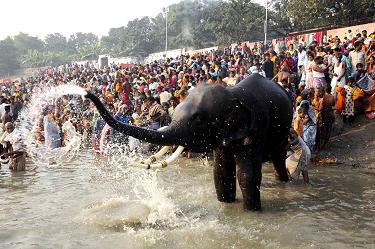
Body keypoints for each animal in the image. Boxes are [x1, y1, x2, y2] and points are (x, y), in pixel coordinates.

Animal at [86, 74, 296, 210]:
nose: (86, 93)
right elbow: (220, 173)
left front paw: (252, 212)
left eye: (197, 120)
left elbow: (247, 175)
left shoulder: (256, 129)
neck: (233, 94)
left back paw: (284, 180)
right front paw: (226, 205)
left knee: (278, 157)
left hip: (283, 131)